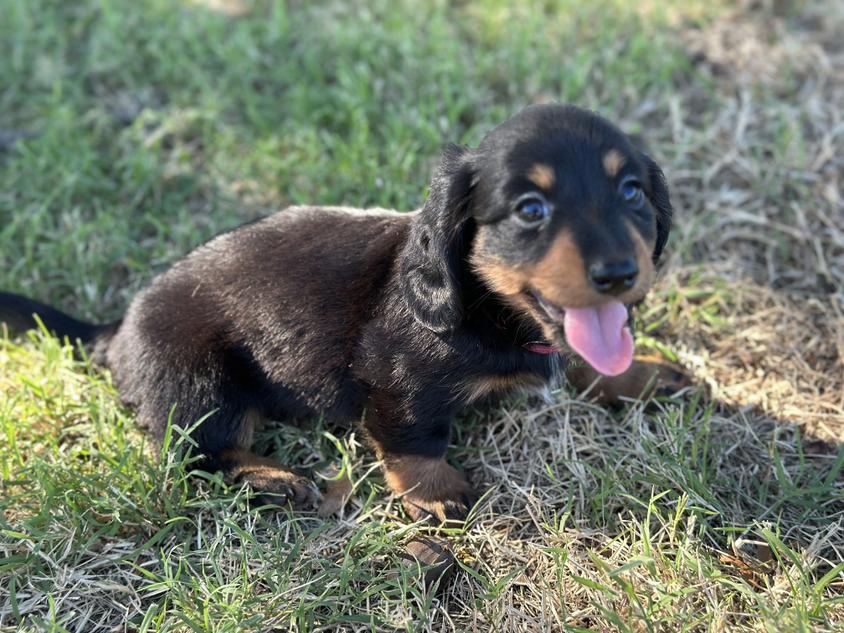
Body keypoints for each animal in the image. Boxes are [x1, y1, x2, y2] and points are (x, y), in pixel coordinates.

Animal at [0, 102, 672, 520]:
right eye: (531, 209)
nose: (619, 274)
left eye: (632, 192)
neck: (488, 308)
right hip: (201, 381)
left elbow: (590, 360)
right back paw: (273, 479)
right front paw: (436, 494)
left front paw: (643, 376)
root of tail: (116, 330)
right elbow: (415, 438)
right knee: (198, 455)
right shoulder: (398, 381)